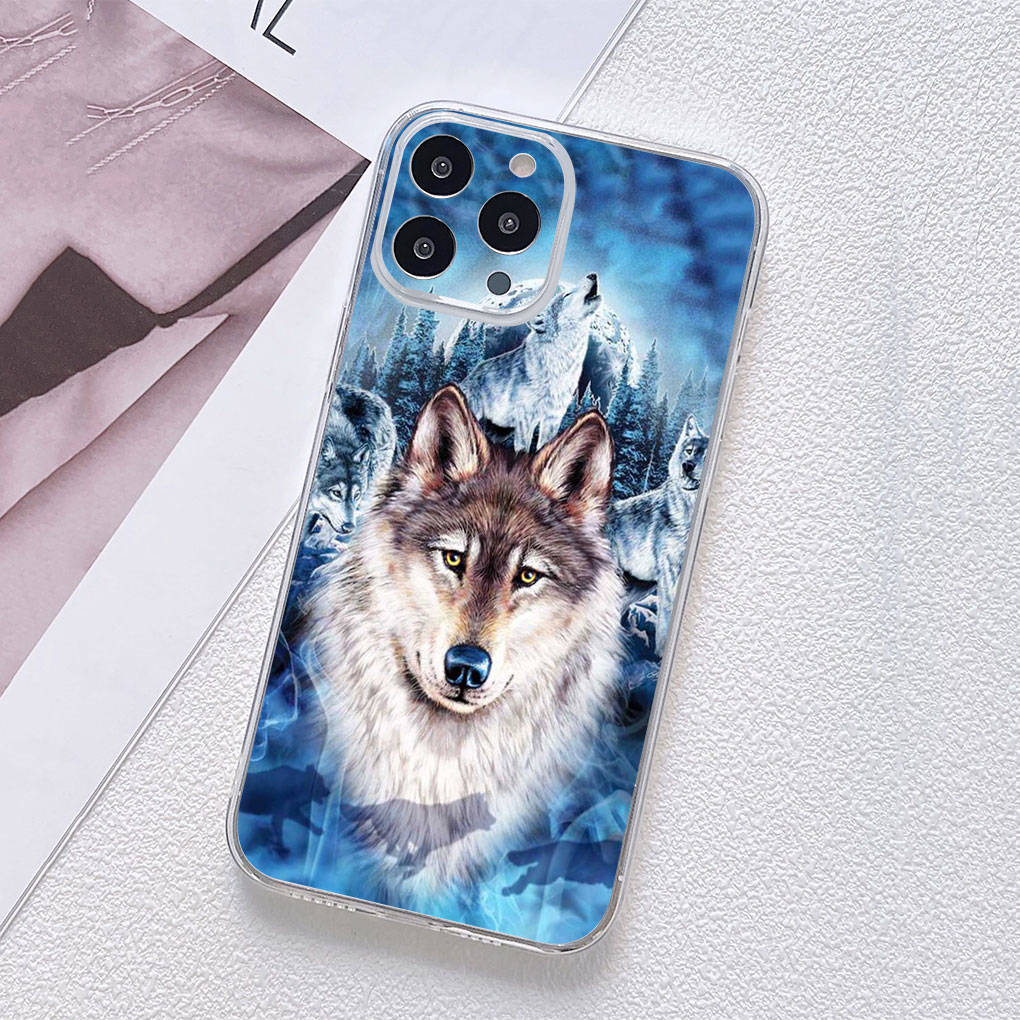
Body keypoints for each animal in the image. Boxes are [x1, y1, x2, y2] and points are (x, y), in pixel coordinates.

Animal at [460, 273, 603, 451]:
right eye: (567, 295)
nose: (592, 274)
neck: (561, 363)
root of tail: (472, 374)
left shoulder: (552, 419)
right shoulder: (526, 419)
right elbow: (523, 450)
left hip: (501, 432)